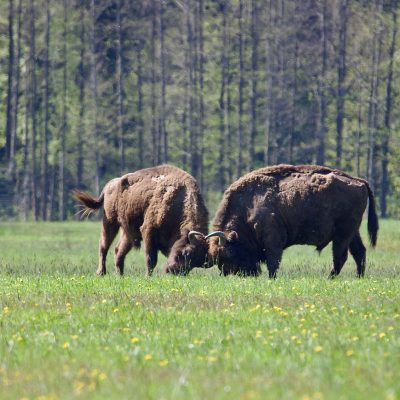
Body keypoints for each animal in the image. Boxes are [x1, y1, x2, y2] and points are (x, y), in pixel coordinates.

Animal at [73, 165, 208, 276]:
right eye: (186, 253)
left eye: (196, 262)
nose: (174, 271)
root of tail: (110, 184)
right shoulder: (148, 231)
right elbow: (151, 258)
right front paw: (148, 276)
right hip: (110, 222)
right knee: (103, 246)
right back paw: (101, 272)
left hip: (127, 232)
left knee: (118, 250)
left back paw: (120, 274)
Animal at [206, 165, 378, 278]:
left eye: (229, 252)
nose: (228, 273)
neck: (248, 205)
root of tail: (360, 181)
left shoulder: (273, 239)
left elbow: (273, 262)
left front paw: (271, 278)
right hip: (353, 232)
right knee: (359, 252)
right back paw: (358, 277)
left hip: (343, 234)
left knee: (340, 256)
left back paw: (330, 278)